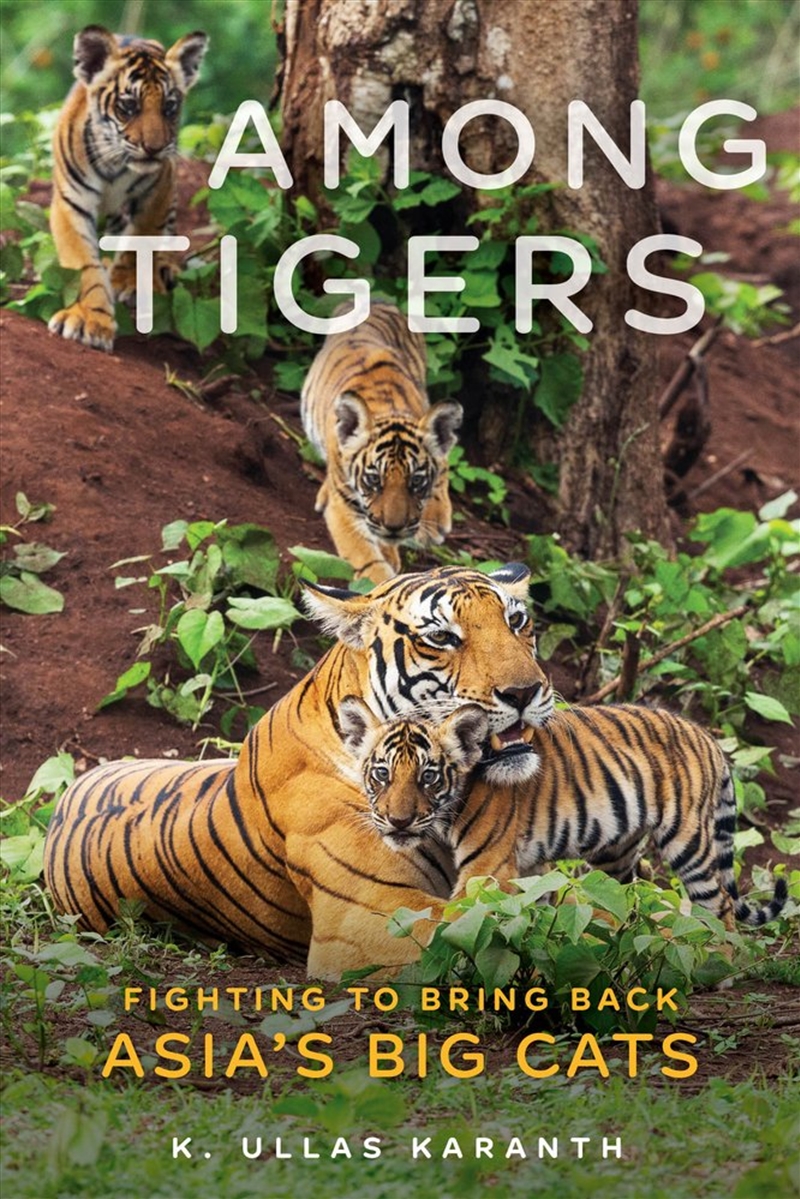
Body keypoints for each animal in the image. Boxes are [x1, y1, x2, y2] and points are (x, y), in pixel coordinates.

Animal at [48, 25, 208, 351]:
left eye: (170, 107)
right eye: (128, 106)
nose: (154, 148)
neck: (115, 163)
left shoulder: (159, 188)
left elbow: (143, 239)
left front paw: (131, 282)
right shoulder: (70, 203)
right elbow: (83, 264)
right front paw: (89, 319)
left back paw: (162, 268)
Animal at [300, 302, 463, 581]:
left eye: (416, 481)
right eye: (373, 479)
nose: (394, 527)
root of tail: (377, 300)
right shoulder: (344, 507)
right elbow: (367, 559)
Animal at [343, 702, 788, 932]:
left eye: (428, 776)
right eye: (381, 773)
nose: (398, 821)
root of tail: (706, 735)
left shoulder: (486, 870)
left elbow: (458, 917)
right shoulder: (525, 867)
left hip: (688, 841)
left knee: (720, 904)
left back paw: (718, 960)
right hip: (616, 853)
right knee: (624, 896)